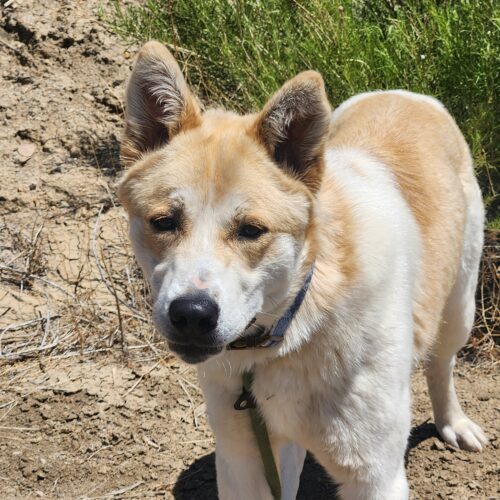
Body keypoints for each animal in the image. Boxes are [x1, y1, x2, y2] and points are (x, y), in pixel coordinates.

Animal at [118, 41, 488, 498]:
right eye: (164, 222)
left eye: (251, 230)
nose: (191, 315)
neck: (295, 325)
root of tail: (404, 94)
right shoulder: (245, 458)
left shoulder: (375, 476)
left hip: (460, 307)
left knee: (442, 364)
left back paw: (453, 423)